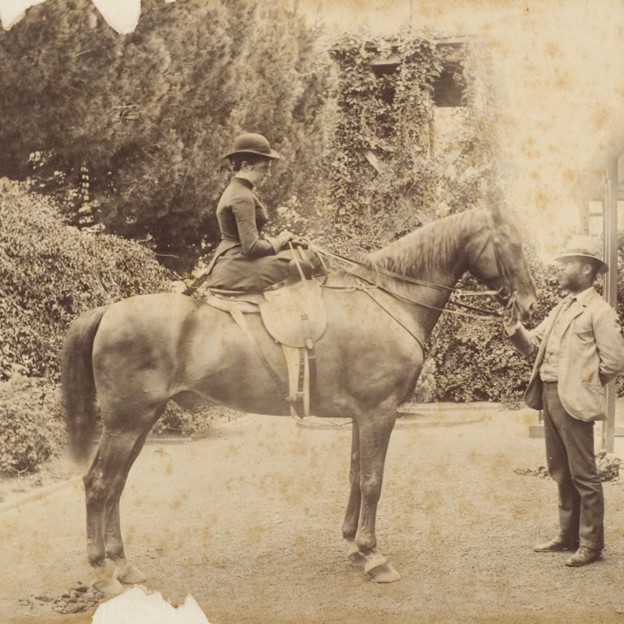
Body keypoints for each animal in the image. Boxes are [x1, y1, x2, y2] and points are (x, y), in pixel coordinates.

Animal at [59, 206, 536, 596]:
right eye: (510, 242)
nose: (530, 307)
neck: (385, 300)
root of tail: (108, 312)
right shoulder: (379, 413)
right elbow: (373, 480)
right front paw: (374, 556)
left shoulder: (362, 417)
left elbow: (355, 474)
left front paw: (354, 547)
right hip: (126, 423)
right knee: (99, 483)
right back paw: (102, 571)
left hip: (141, 421)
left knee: (116, 485)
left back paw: (123, 565)